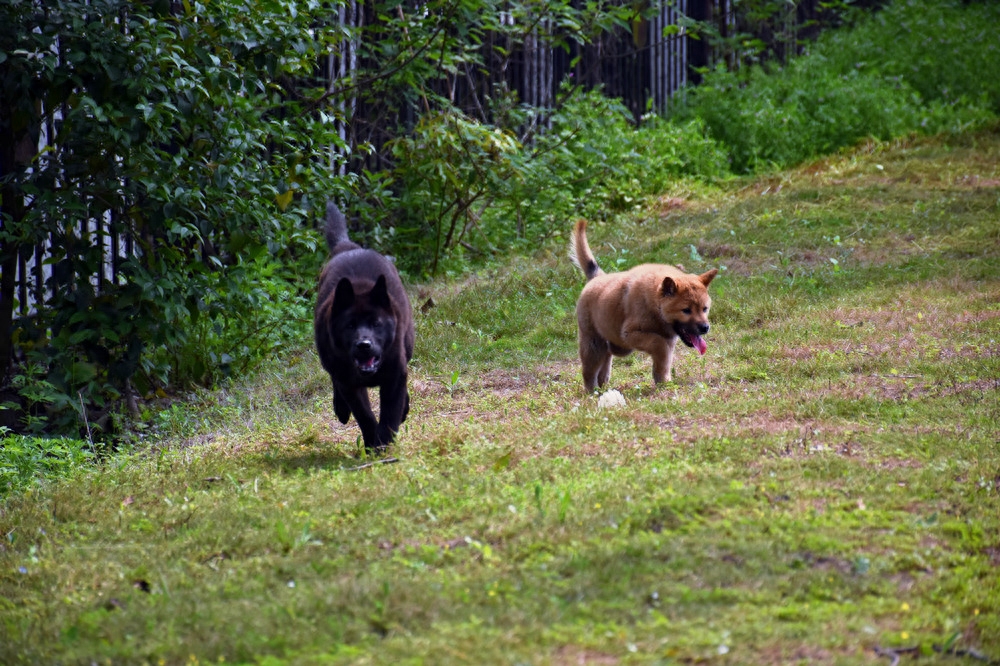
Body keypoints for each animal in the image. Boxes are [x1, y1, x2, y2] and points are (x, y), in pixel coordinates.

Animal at [312, 202, 414, 452]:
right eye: (349, 325)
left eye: (377, 323)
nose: (364, 345)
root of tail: (348, 247)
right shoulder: (349, 383)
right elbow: (365, 416)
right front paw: (372, 444)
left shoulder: (394, 375)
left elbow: (389, 414)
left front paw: (384, 444)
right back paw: (340, 409)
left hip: (408, 343)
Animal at [572, 220, 720, 392]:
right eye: (686, 310)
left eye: (705, 309)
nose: (705, 328)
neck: (654, 306)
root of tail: (597, 278)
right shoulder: (631, 334)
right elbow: (659, 345)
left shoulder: (669, 340)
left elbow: (664, 360)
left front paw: (664, 381)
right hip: (593, 343)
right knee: (590, 371)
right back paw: (593, 391)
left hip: (610, 344)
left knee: (605, 363)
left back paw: (603, 387)